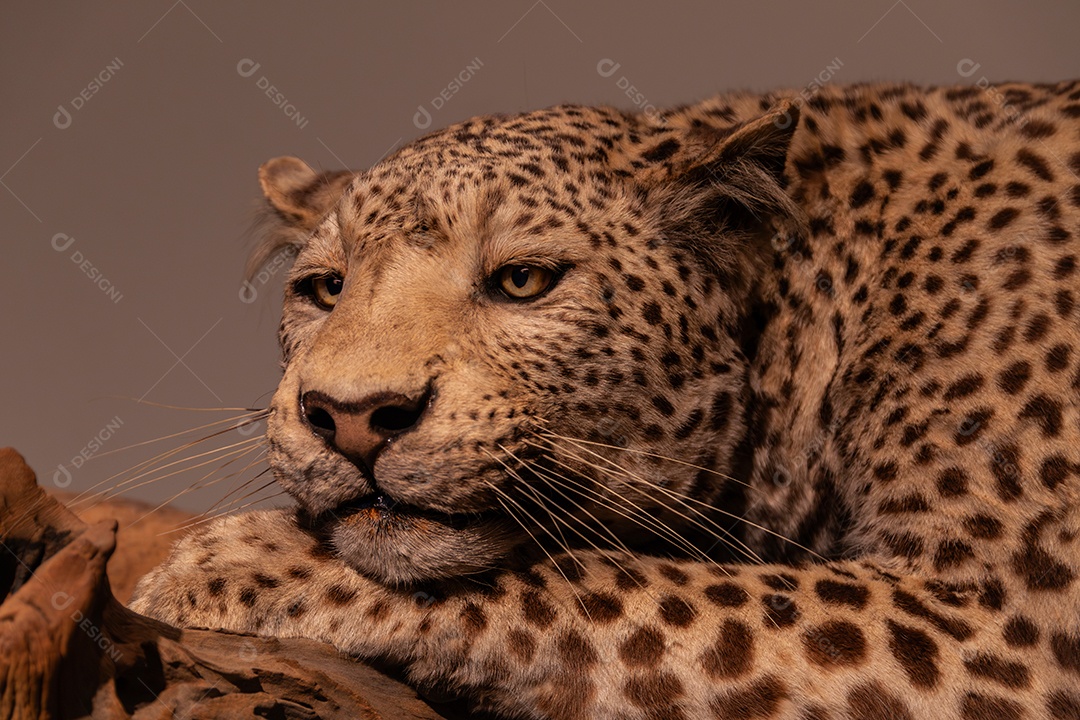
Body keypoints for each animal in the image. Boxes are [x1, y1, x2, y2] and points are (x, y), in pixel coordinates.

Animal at [128, 80, 1080, 720]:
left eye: (523, 282)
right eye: (324, 290)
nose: (352, 417)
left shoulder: (1007, 623)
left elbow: (609, 582)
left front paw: (232, 563)